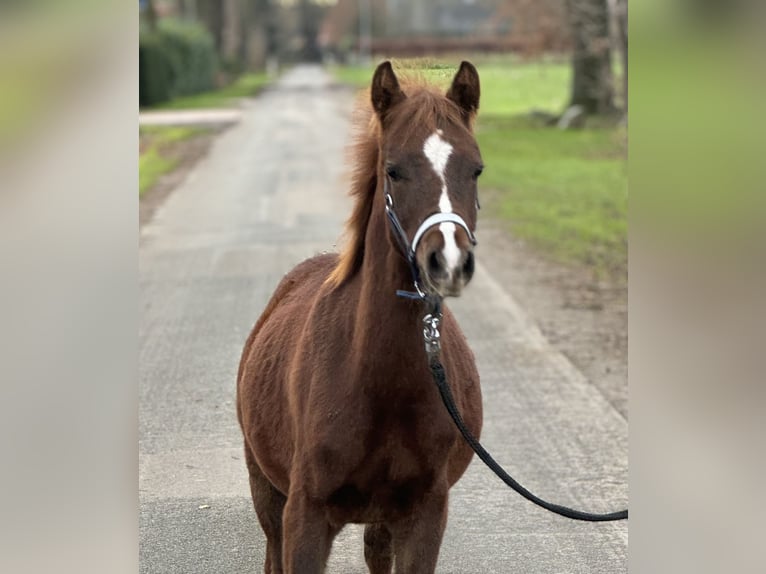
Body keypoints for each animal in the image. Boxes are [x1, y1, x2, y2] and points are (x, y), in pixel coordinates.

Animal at [236, 60, 486, 572]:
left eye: (476, 169)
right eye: (393, 171)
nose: (449, 262)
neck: (377, 381)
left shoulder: (423, 516)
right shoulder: (305, 516)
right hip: (266, 491)